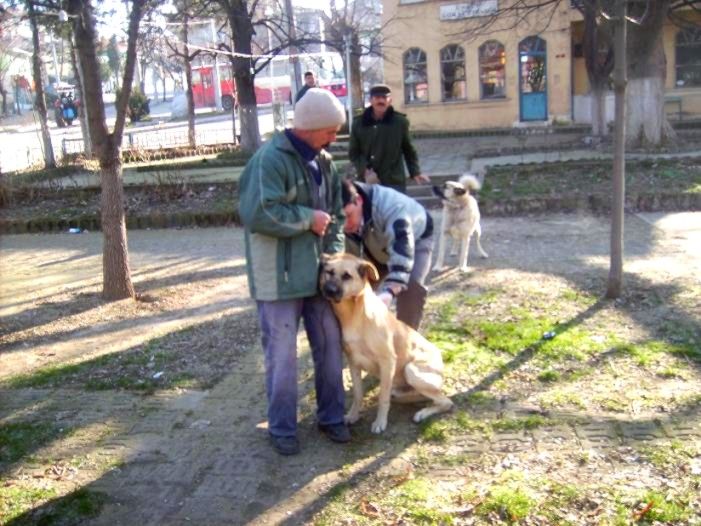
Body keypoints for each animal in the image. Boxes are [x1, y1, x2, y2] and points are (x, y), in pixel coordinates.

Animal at [318, 254, 452, 436]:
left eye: (347, 276)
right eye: (329, 272)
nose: (328, 290)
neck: (354, 315)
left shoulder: (387, 361)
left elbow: (383, 398)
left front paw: (380, 422)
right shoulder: (353, 362)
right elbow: (358, 394)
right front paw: (353, 415)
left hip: (411, 370)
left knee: (446, 401)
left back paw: (422, 413)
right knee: (426, 397)